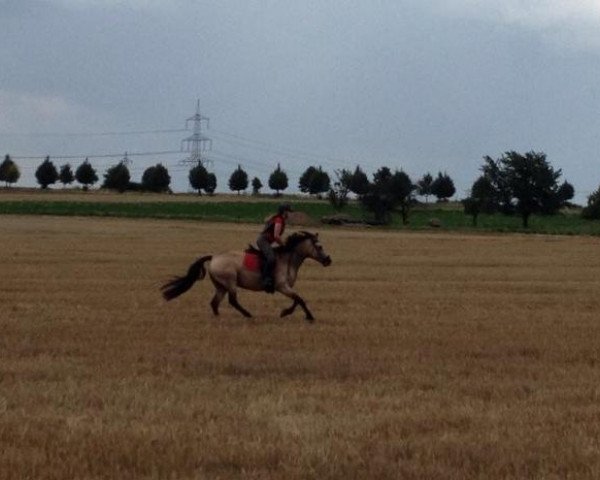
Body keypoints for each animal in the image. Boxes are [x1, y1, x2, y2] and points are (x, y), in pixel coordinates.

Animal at [162, 231, 332, 320]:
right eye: (319, 246)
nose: (328, 260)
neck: (288, 259)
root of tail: (214, 257)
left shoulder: (286, 287)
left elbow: (297, 300)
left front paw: (285, 312)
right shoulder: (282, 286)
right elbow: (300, 299)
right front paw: (308, 316)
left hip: (220, 286)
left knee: (215, 302)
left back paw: (218, 317)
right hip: (230, 282)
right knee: (232, 300)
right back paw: (248, 314)